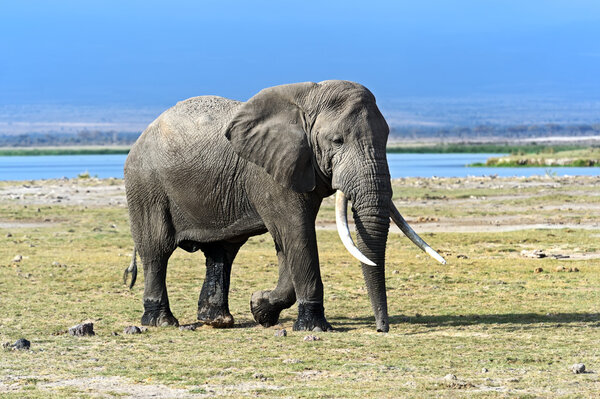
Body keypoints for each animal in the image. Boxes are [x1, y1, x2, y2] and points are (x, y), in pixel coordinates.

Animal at [123, 79, 446, 332]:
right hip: (145, 185)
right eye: (337, 141)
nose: (382, 329)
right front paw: (313, 326)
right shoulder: (270, 172)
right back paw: (162, 322)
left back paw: (216, 321)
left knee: (222, 251)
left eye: (387, 138)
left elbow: (287, 243)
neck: (310, 97)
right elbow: (296, 233)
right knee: (157, 250)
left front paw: (260, 308)